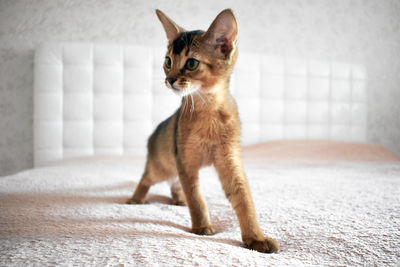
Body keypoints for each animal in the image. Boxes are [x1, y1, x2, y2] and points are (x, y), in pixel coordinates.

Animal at [126, 8, 280, 254]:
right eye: (168, 61)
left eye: (191, 63)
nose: (169, 79)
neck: (209, 112)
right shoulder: (186, 161)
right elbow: (196, 198)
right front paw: (202, 227)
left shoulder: (229, 160)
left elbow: (244, 198)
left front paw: (255, 238)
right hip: (163, 165)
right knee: (146, 178)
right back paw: (136, 199)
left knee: (175, 183)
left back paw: (178, 199)